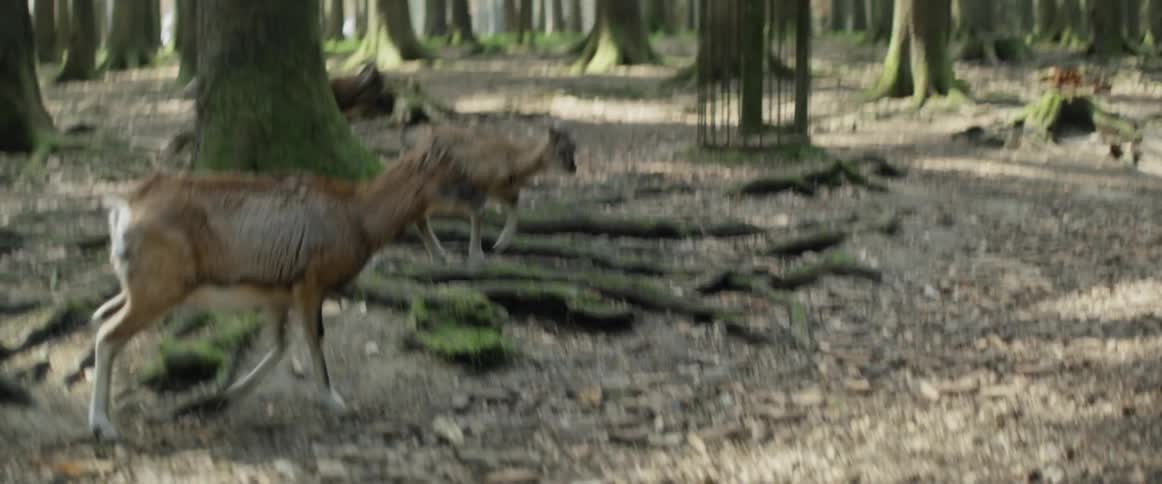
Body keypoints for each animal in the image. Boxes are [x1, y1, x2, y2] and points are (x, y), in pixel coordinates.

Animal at [85, 141, 486, 442]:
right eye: (455, 172)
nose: (482, 199)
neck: (357, 219)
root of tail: (124, 208)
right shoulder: (311, 283)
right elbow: (314, 339)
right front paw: (334, 401)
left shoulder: (277, 296)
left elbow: (279, 346)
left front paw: (223, 397)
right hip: (159, 291)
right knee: (108, 335)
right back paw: (102, 427)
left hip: (138, 289)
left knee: (100, 318)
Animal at [409, 123, 578, 266]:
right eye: (561, 150)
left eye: (574, 148)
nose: (573, 168)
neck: (513, 163)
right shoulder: (479, 182)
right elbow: (479, 214)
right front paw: (478, 256)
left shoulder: (500, 189)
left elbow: (514, 203)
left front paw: (499, 245)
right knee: (420, 211)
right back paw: (438, 255)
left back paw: (439, 256)